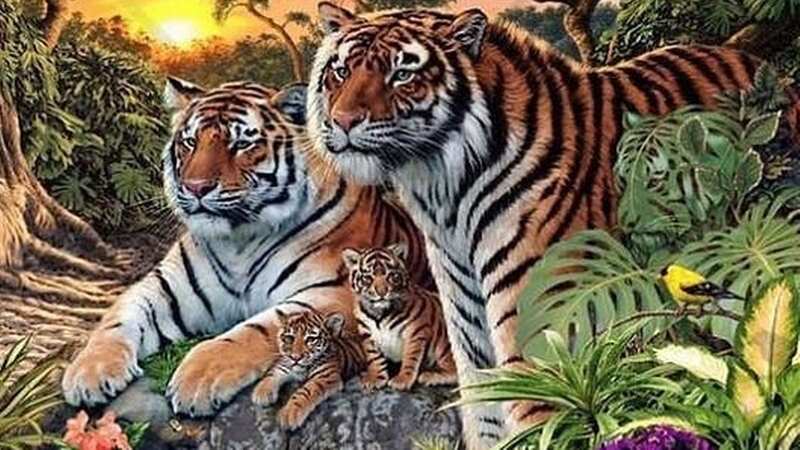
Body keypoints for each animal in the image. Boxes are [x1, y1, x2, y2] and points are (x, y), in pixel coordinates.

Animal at [61, 77, 433, 418]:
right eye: (190, 142)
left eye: (241, 144)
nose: (195, 187)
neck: (238, 242)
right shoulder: (165, 287)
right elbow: (119, 316)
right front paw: (89, 372)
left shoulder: (334, 292)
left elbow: (258, 329)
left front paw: (199, 378)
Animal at [342, 243, 457, 391]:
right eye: (368, 278)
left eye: (391, 276)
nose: (382, 292)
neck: (379, 314)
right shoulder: (366, 333)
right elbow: (374, 357)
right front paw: (376, 378)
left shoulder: (416, 330)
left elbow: (410, 357)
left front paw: (402, 379)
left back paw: (429, 376)